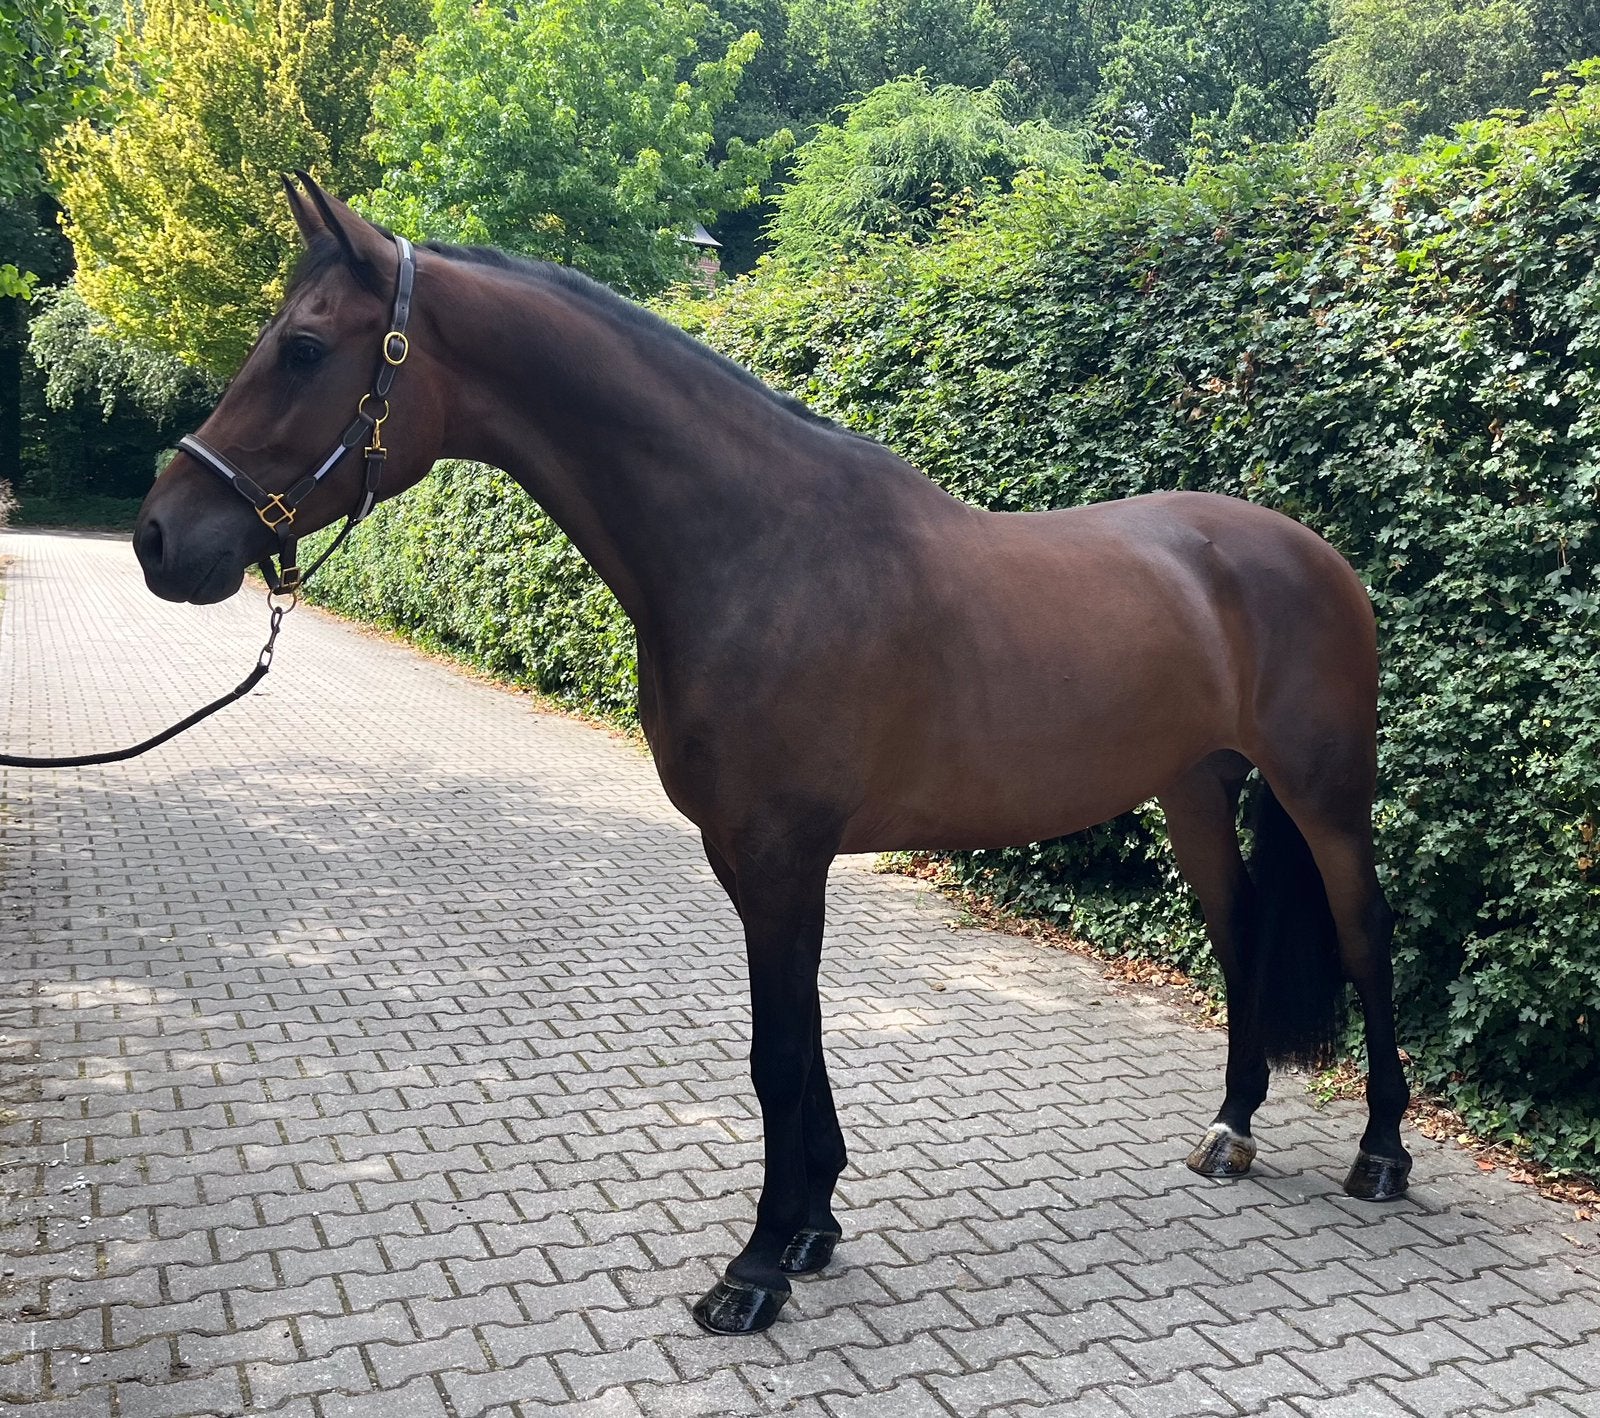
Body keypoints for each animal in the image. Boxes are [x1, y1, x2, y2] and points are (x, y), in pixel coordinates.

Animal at [133, 174, 1412, 1335]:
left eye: (302, 348)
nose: (159, 536)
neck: (760, 549)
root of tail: (1308, 551)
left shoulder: (787, 851)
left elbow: (776, 1051)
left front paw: (751, 1269)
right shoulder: (748, 855)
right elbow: (804, 1041)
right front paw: (809, 1225)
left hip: (1326, 794)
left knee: (1364, 935)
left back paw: (1382, 1152)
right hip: (1193, 787)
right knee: (1240, 932)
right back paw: (1231, 1126)